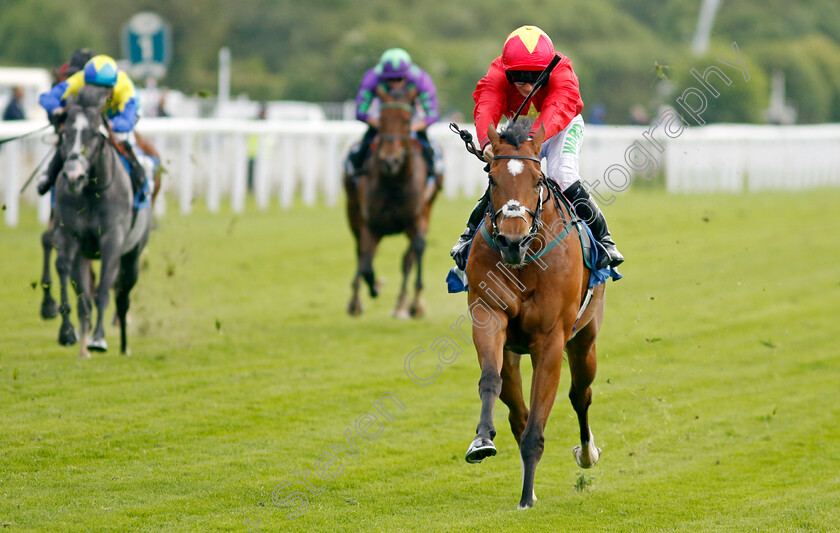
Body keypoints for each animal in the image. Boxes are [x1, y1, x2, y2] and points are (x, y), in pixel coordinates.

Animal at [51, 86, 153, 358]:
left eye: (94, 134)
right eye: (65, 133)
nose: (73, 175)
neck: (91, 192)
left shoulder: (112, 241)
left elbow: (104, 291)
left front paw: (98, 339)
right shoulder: (72, 238)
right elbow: (80, 294)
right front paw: (74, 338)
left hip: (131, 257)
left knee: (122, 298)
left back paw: (124, 346)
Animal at [346, 86, 442, 316]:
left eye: (407, 121)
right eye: (381, 120)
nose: (390, 160)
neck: (394, 183)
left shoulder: (415, 218)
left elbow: (417, 249)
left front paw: (415, 304)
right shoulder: (370, 224)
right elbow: (366, 263)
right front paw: (373, 287)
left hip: (426, 209)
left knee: (408, 257)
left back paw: (402, 303)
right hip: (353, 211)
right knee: (361, 253)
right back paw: (356, 300)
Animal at [466, 119, 604, 508]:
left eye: (537, 180)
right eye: (492, 178)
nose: (512, 240)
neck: (524, 262)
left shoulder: (552, 339)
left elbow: (539, 422)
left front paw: (526, 498)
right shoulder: (488, 315)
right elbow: (490, 380)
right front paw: (482, 439)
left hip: (585, 340)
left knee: (580, 394)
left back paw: (587, 453)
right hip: (513, 353)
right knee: (517, 410)